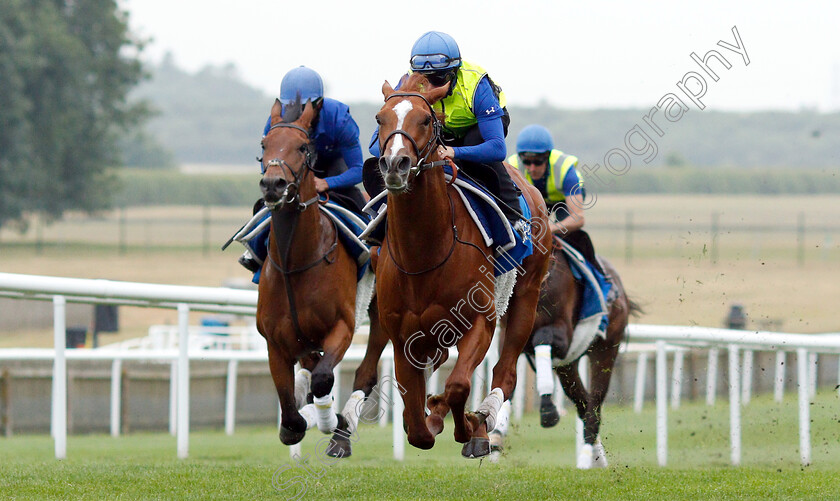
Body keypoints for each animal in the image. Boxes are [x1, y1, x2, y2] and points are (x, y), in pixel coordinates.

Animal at [258, 96, 388, 454]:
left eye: (303, 147)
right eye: (264, 144)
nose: (273, 184)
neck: (296, 263)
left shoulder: (342, 325)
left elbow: (323, 379)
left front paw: (334, 420)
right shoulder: (275, 342)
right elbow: (290, 416)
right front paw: (300, 418)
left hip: (382, 310)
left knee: (364, 372)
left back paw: (342, 432)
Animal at [372, 74, 556, 458]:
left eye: (425, 121)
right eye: (380, 118)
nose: (395, 165)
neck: (423, 254)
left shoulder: (480, 321)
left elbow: (458, 384)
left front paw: (472, 427)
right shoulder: (402, 337)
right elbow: (416, 426)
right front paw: (431, 416)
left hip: (526, 295)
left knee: (505, 372)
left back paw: (484, 416)